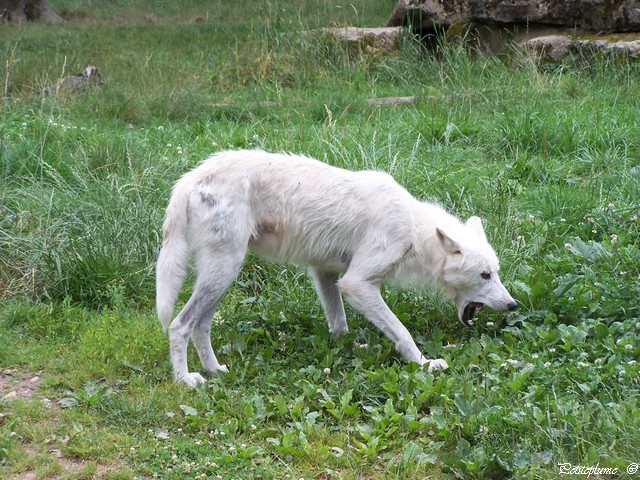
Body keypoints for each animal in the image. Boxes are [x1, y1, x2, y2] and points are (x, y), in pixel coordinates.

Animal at [158, 150, 516, 386]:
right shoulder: (357, 284)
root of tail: (192, 176)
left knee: (201, 326)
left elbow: (339, 324)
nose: (513, 305)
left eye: (496, 273)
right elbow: (401, 331)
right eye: (485, 275)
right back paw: (185, 380)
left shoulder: (326, 274)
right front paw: (424, 363)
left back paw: (215, 371)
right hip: (225, 271)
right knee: (180, 325)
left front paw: (348, 348)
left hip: (221, 276)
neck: (414, 230)